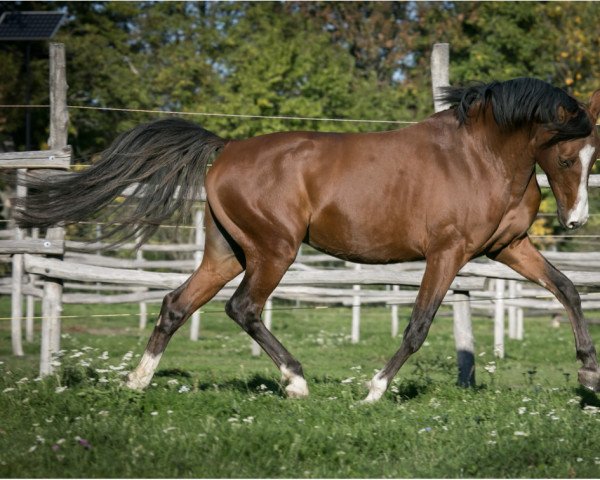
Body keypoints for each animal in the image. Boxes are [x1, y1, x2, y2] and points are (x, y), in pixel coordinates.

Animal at [16, 78, 600, 402]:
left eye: (593, 155)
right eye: (567, 156)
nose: (574, 221)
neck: (479, 156)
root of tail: (225, 149)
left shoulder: (508, 247)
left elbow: (568, 290)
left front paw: (589, 375)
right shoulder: (448, 253)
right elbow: (417, 327)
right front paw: (374, 392)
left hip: (227, 253)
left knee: (176, 304)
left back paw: (136, 383)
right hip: (274, 250)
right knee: (243, 308)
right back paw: (296, 383)